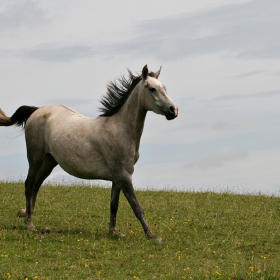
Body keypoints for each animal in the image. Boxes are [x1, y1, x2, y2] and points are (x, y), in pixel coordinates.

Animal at [0, 64, 178, 240]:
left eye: (164, 88)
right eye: (152, 89)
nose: (173, 110)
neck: (120, 130)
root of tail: (37, 110)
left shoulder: (118, 177)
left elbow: (114, 205)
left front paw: (114, 231)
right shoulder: (124, 176)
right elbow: (136, 206)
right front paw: (152, 236)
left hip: (50, 161)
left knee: (36, 185)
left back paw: (27, 215)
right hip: (35, 158)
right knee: (29, 184)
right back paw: (30, 225)